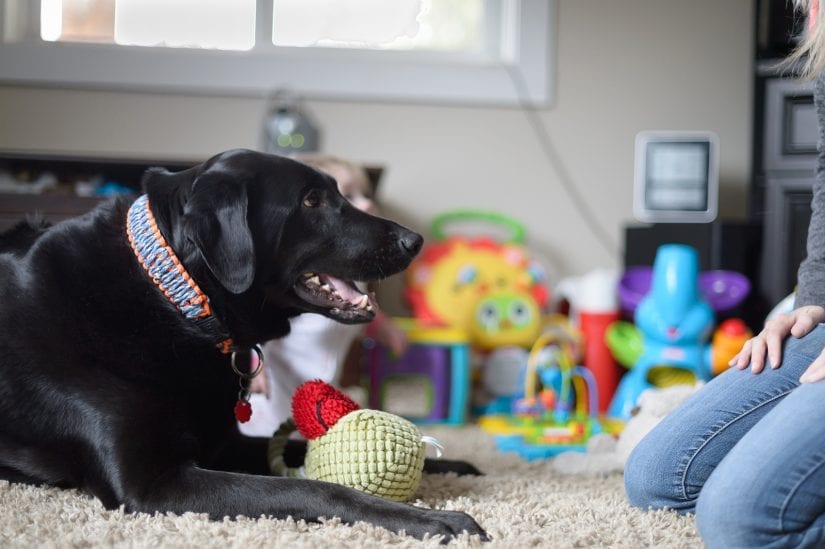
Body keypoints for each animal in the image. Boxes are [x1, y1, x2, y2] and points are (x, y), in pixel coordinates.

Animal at [0, 148, 486, 540]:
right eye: (311, 201)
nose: (415, 241)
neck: (175, 296)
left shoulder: (224, 444)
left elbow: (295, 450)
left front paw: (446, 464)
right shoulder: (153, 484)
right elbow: (315, 488)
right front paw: (434, 519)